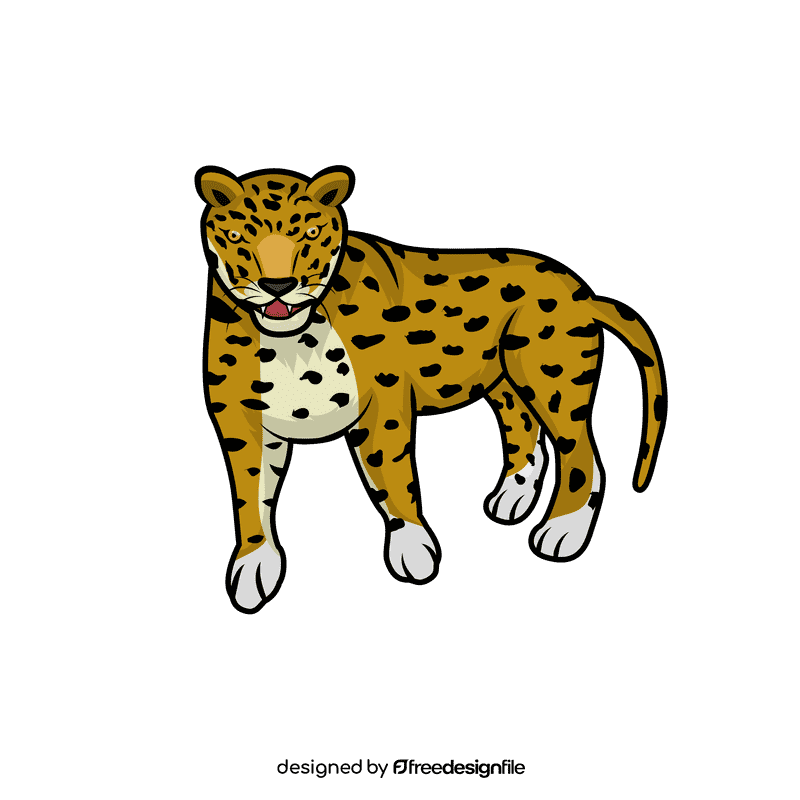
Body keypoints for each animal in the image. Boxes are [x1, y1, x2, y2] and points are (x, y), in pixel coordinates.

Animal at [195, 163, 667, 614]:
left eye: (309, 233)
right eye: (238, 236)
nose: (278, 286)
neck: (292, 341)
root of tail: (581, 290)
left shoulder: (381, 408)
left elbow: (393, 478)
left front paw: (412, 547)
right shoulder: (241, 421)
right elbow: (250, 496)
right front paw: (254, 563)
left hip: (551, 381)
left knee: (582, 455)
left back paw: (562, 529)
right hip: (505, 382)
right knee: (524, 430)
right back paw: (513, 495)